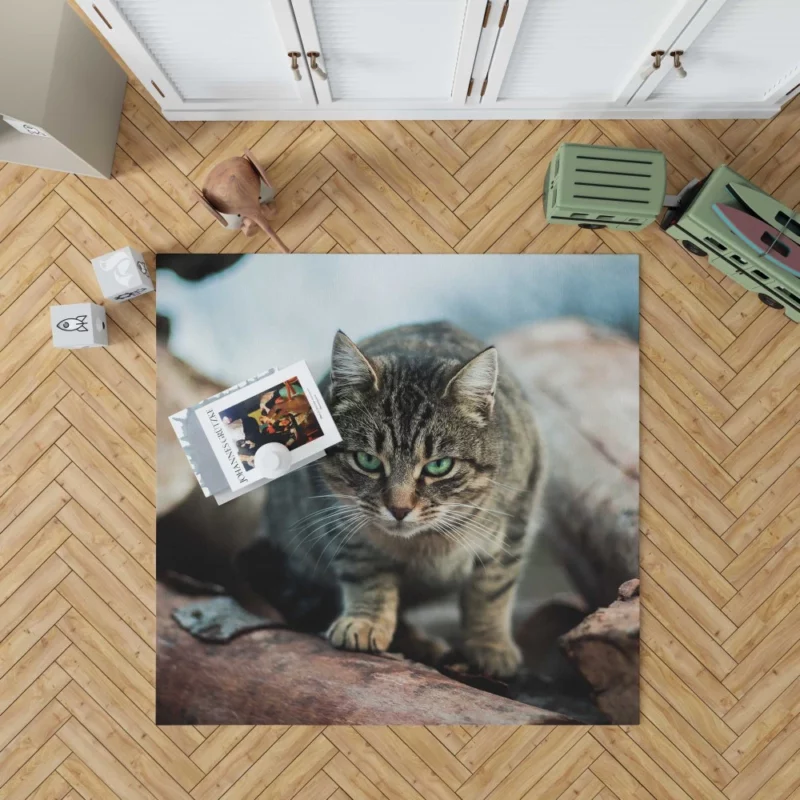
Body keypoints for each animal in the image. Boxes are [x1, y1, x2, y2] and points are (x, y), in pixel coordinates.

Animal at [266, 322, 540, 680]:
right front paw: (366, 622)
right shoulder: (341, 519)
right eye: (367, 460)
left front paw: (490, 645)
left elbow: (491, 589)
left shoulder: (517, 516)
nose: (399, 509)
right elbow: (367, 574)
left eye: (439, 466)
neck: (426, 544)